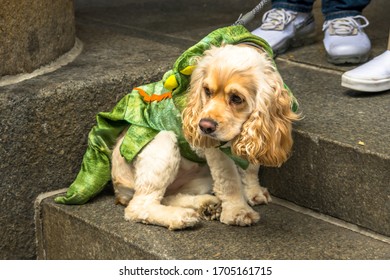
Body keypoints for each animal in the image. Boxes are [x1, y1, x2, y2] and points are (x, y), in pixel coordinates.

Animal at [111, 44, 300, 230]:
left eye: (236, 98)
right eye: (207, 91)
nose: (204, 126)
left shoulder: (255, 136)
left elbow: (251, 168)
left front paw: (254, 192)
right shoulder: (217, 150)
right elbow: (229, 180)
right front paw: (238, 211)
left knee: (167, 196)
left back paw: (206, 205)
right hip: (162, 144)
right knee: (139, 206)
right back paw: (180, 216)